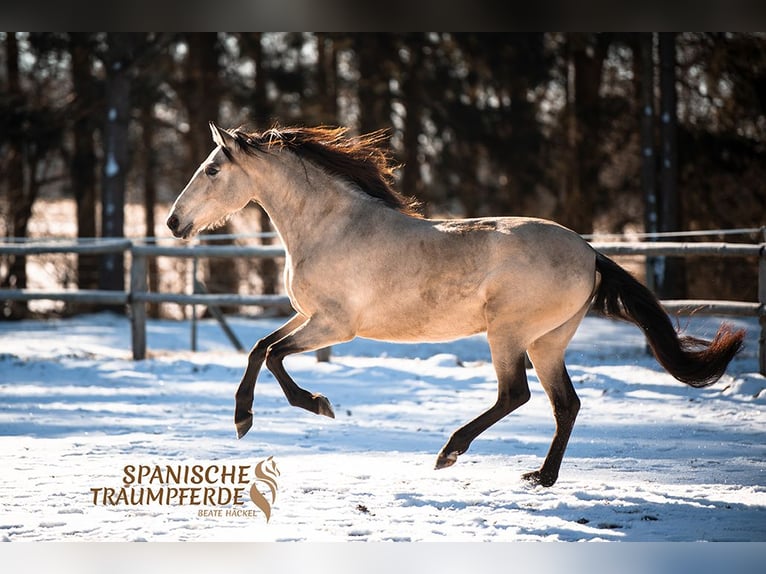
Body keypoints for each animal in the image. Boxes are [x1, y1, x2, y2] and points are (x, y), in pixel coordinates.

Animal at [166, 124, 744, 488]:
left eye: (212, 170)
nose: (173, 222)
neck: (332, 227)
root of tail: (589, 251)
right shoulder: (311, 317)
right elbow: (259, 348)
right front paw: (245, 418)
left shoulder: (335, 325)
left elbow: (273, 355)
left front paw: (310, 405)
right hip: (547, 341)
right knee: (566, 404)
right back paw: (541, 477)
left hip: (508, 335)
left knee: (515, 395)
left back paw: (450, 452)